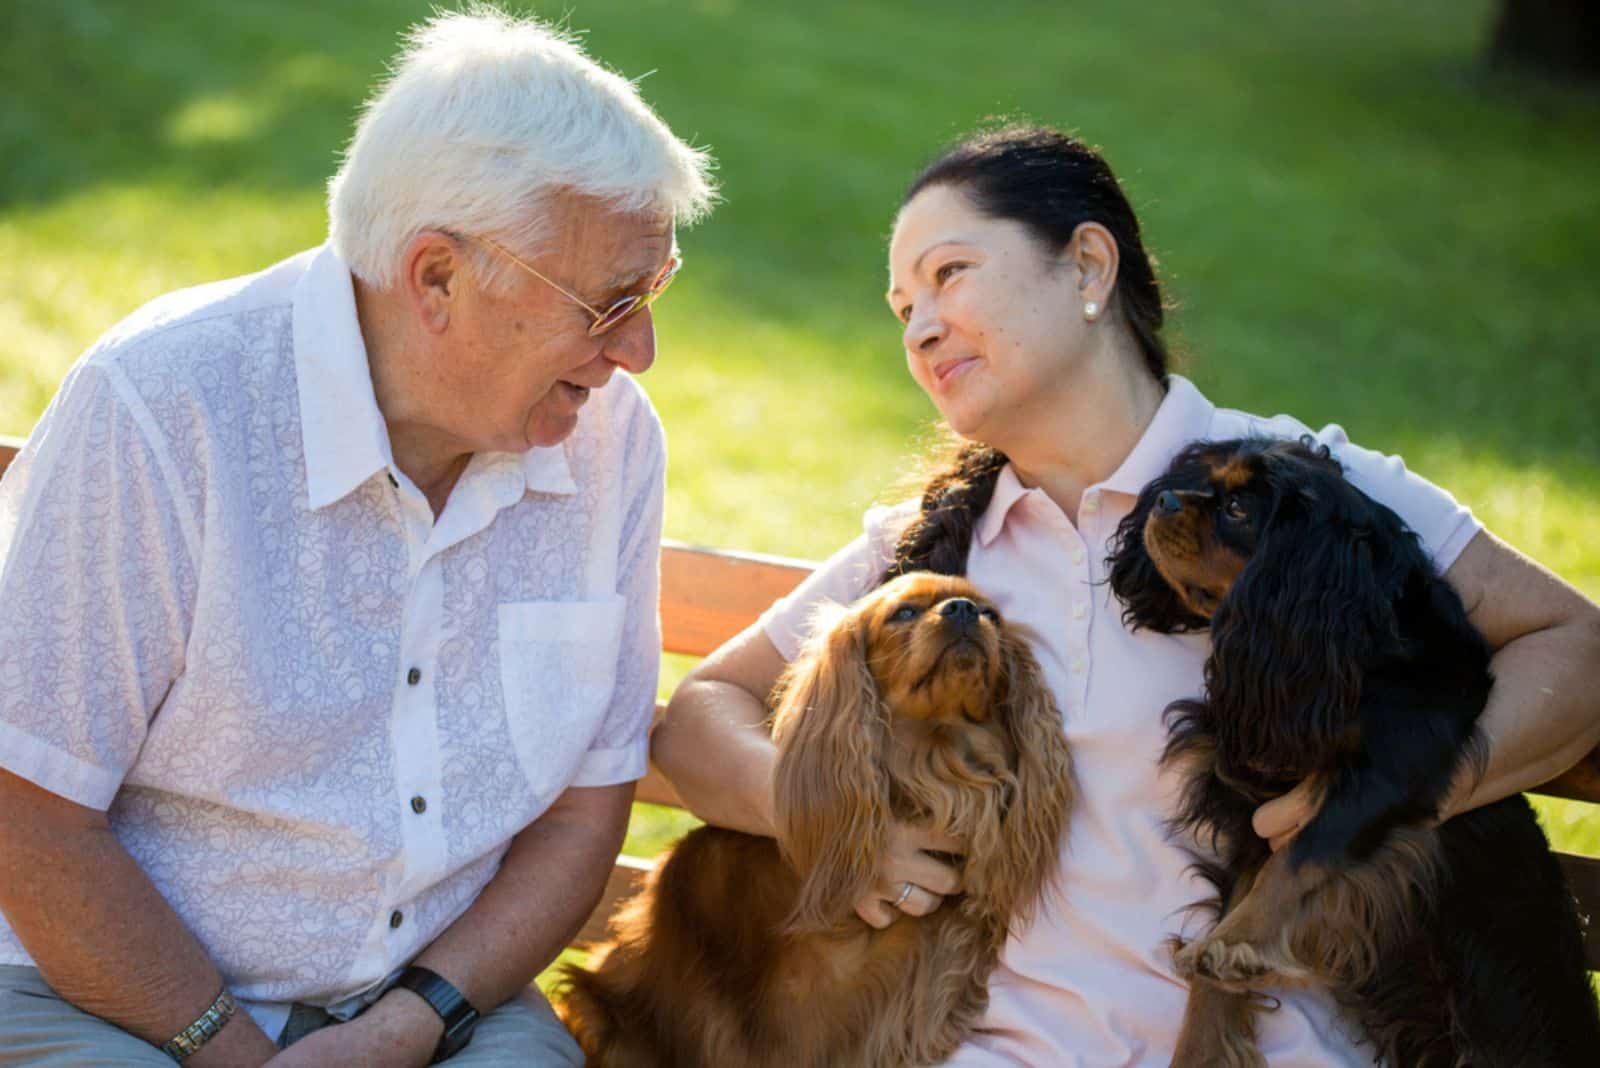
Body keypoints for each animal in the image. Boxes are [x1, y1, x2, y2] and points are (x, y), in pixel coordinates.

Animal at [1113, 434, 1600, 1068]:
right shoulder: (1252, 816)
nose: (1164, 498)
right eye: (1206, 483)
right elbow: (1226, 941)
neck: (1355, 648)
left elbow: (1306, 853)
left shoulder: (1398, 759)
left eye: (1239, 510)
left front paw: (1236, 942)